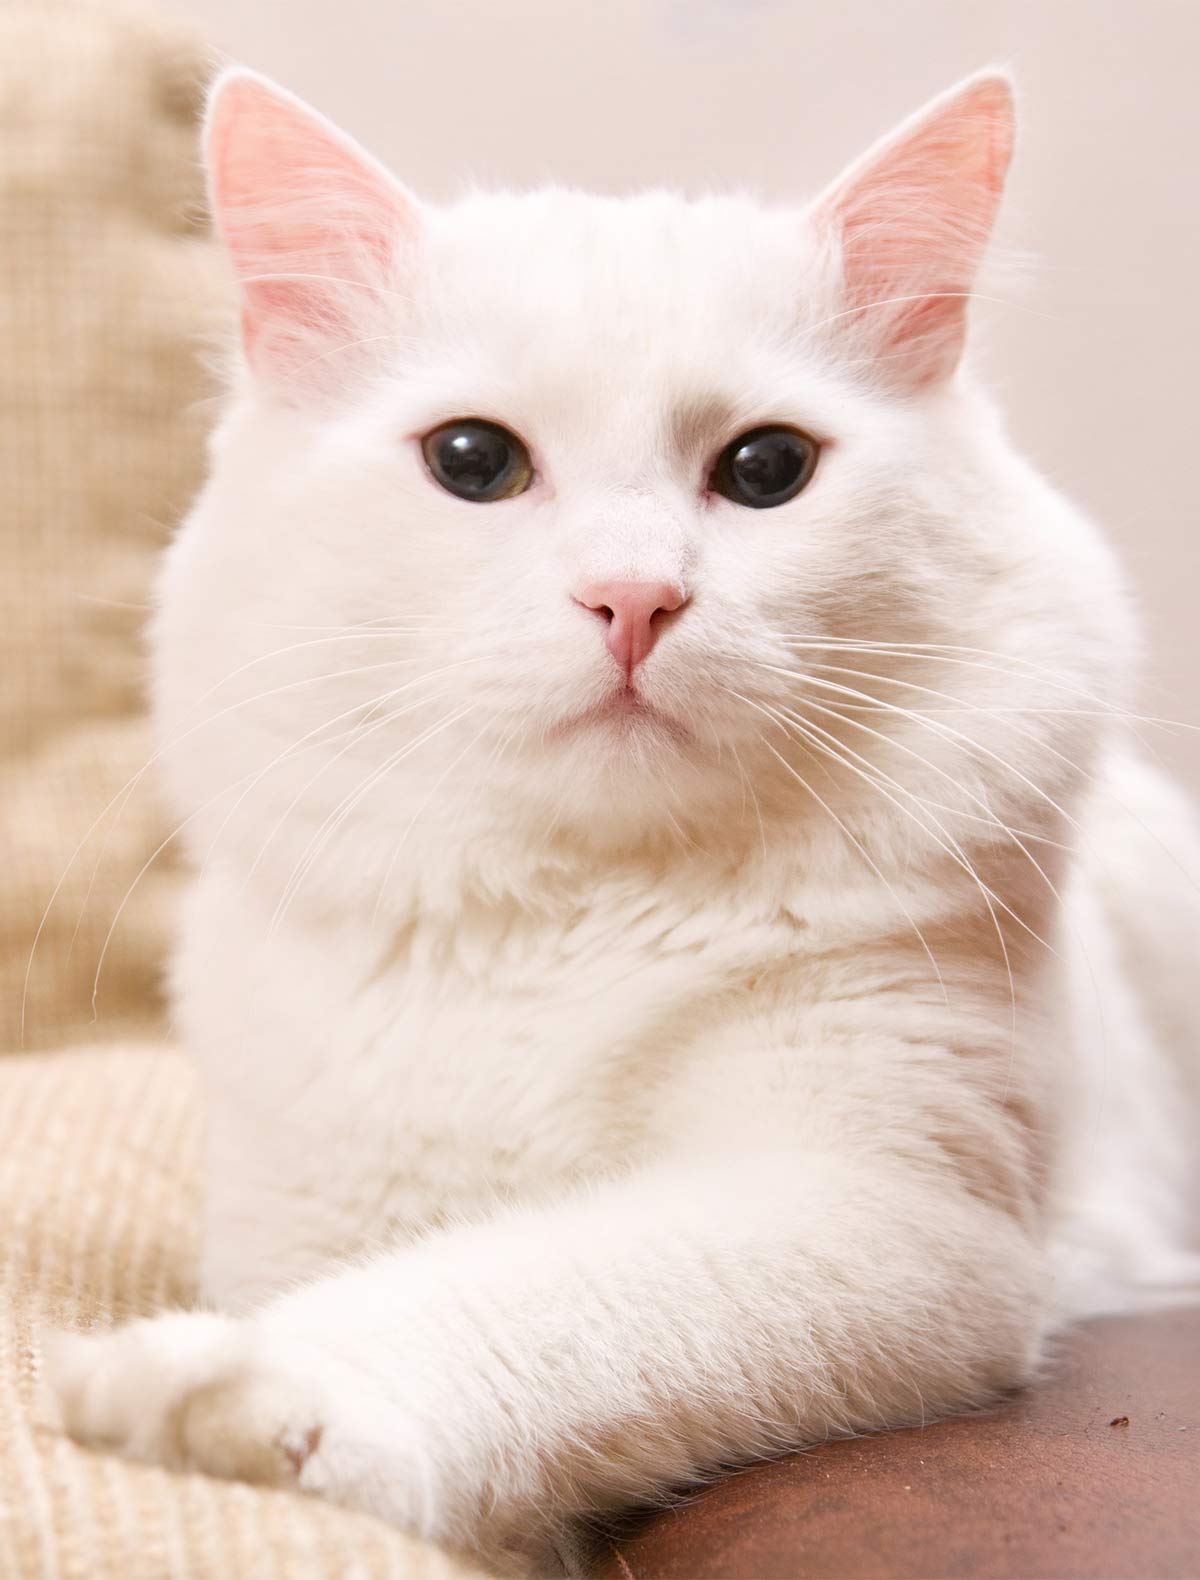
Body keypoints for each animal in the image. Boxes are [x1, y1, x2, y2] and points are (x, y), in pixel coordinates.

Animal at [47, 61, 1200, 1567]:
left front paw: (237, 1395)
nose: (634, 599)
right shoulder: (296, 1214)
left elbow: (522, 1299)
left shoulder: (888, 1213)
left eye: (766, 469)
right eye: (473, 460)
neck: (579, 906)